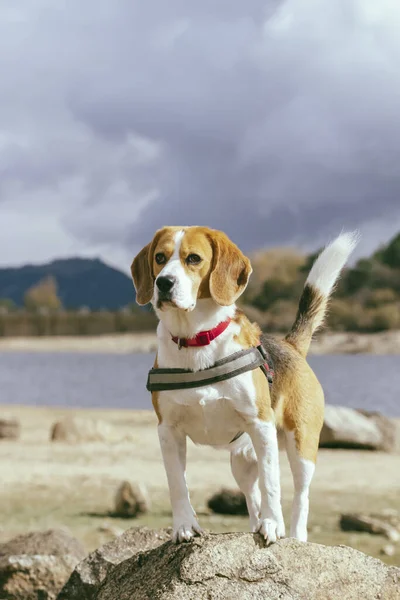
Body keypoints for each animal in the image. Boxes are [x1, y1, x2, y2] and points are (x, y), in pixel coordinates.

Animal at [132, 225, 360, 544]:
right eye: (159, 258)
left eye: (193, 258)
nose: (163, 283)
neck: (196, 340)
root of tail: (290, 344)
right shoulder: (168, 431)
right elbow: (177, 483)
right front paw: (184, 526)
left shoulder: (261, 425)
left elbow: (271, 483)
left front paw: (273, 524)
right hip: (241, 459)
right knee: (252, 497)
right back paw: (255, 524)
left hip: (301, 444)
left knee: (299, 494)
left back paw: (294, 534)